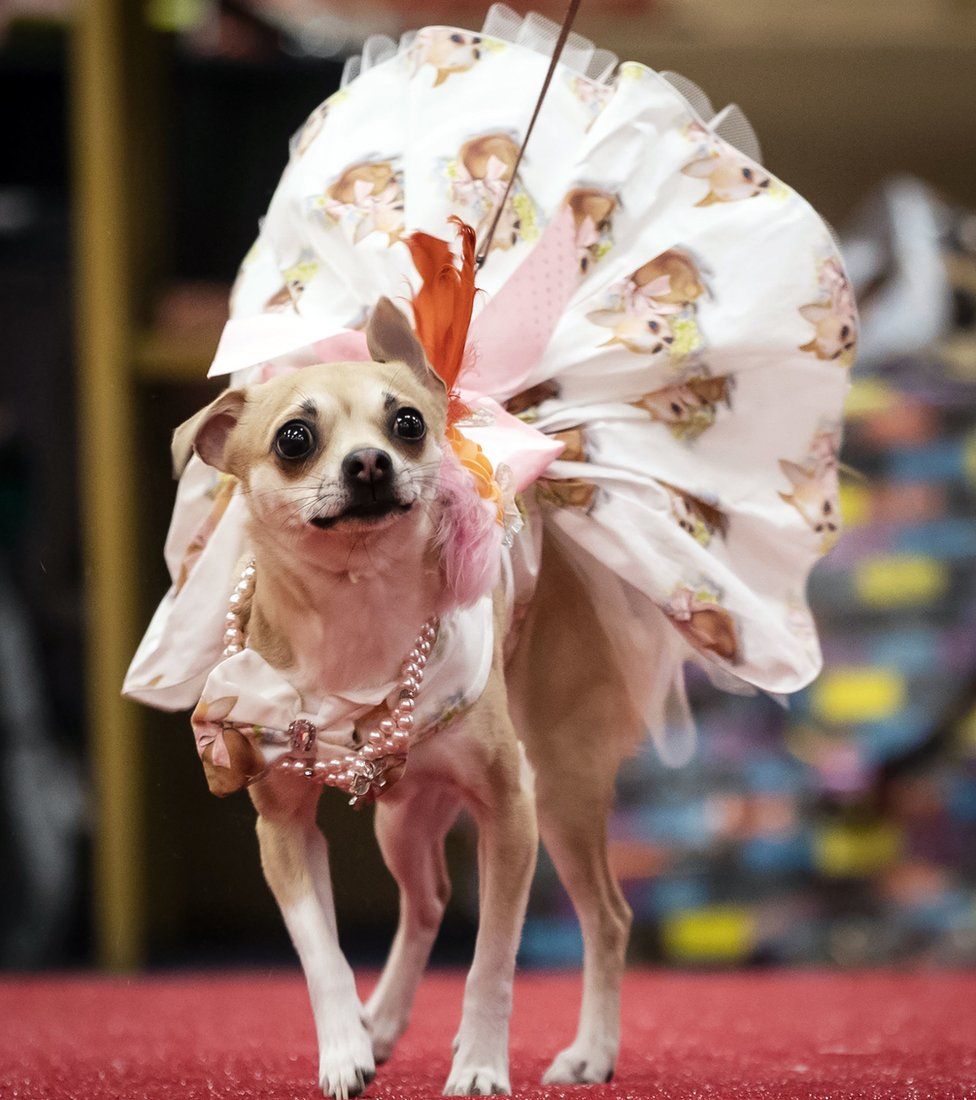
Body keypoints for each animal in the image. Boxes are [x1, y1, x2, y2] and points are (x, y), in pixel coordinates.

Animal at [176, 297, 642, 1095]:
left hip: (559, 796)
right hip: (403, 818)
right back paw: (383, 1022)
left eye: (408, 424)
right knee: (428, 902)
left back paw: (592, 1051)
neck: (358, 620)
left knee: (607, 918)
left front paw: (480, 1062)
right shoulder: (284, 831)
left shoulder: (509, 812)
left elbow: (492, 961)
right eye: (294, 438)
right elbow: (321, 954)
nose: (369, 462)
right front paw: (343, 1050)